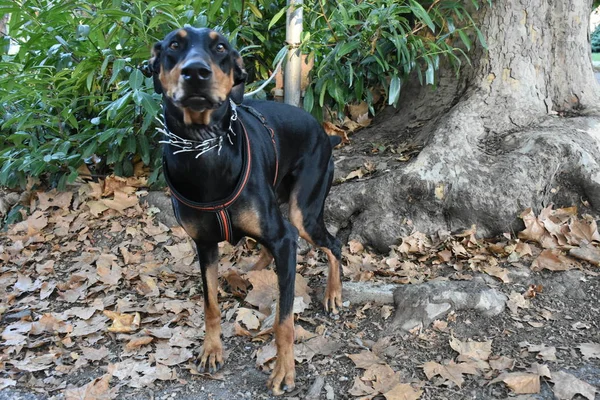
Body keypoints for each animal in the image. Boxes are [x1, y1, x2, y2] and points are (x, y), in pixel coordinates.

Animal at [145, 27, 342, 394]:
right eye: (174, 45)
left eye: (221, 47)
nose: (196, 73)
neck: (204, 148)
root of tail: (325, 133)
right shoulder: (204, 245)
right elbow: (209, 304)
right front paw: (211, 350)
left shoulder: (284, 240)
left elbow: (283, 320)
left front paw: (284, 371)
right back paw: (255, 268)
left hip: (303, 212)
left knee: (332, 243)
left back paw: (334, 294)